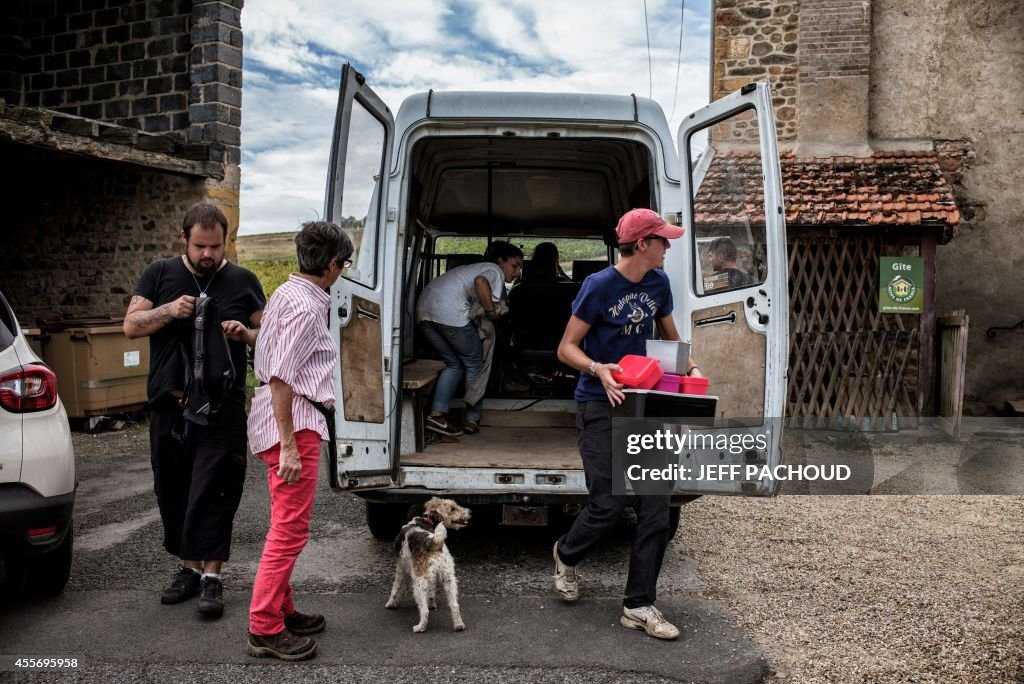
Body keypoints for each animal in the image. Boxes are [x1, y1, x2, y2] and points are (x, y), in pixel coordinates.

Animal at [385, 497, 471, 630]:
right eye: (452, 508)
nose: (469, 512)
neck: (427, 521)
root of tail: (434, 543)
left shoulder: (401, 567)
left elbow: (396, 588)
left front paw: (391, 603)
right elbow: (431, 592)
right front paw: (432, 603)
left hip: (418, 583)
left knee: (424, 610)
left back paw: (420, 627)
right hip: (448, 578)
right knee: (455, 605)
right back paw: (459, 625)